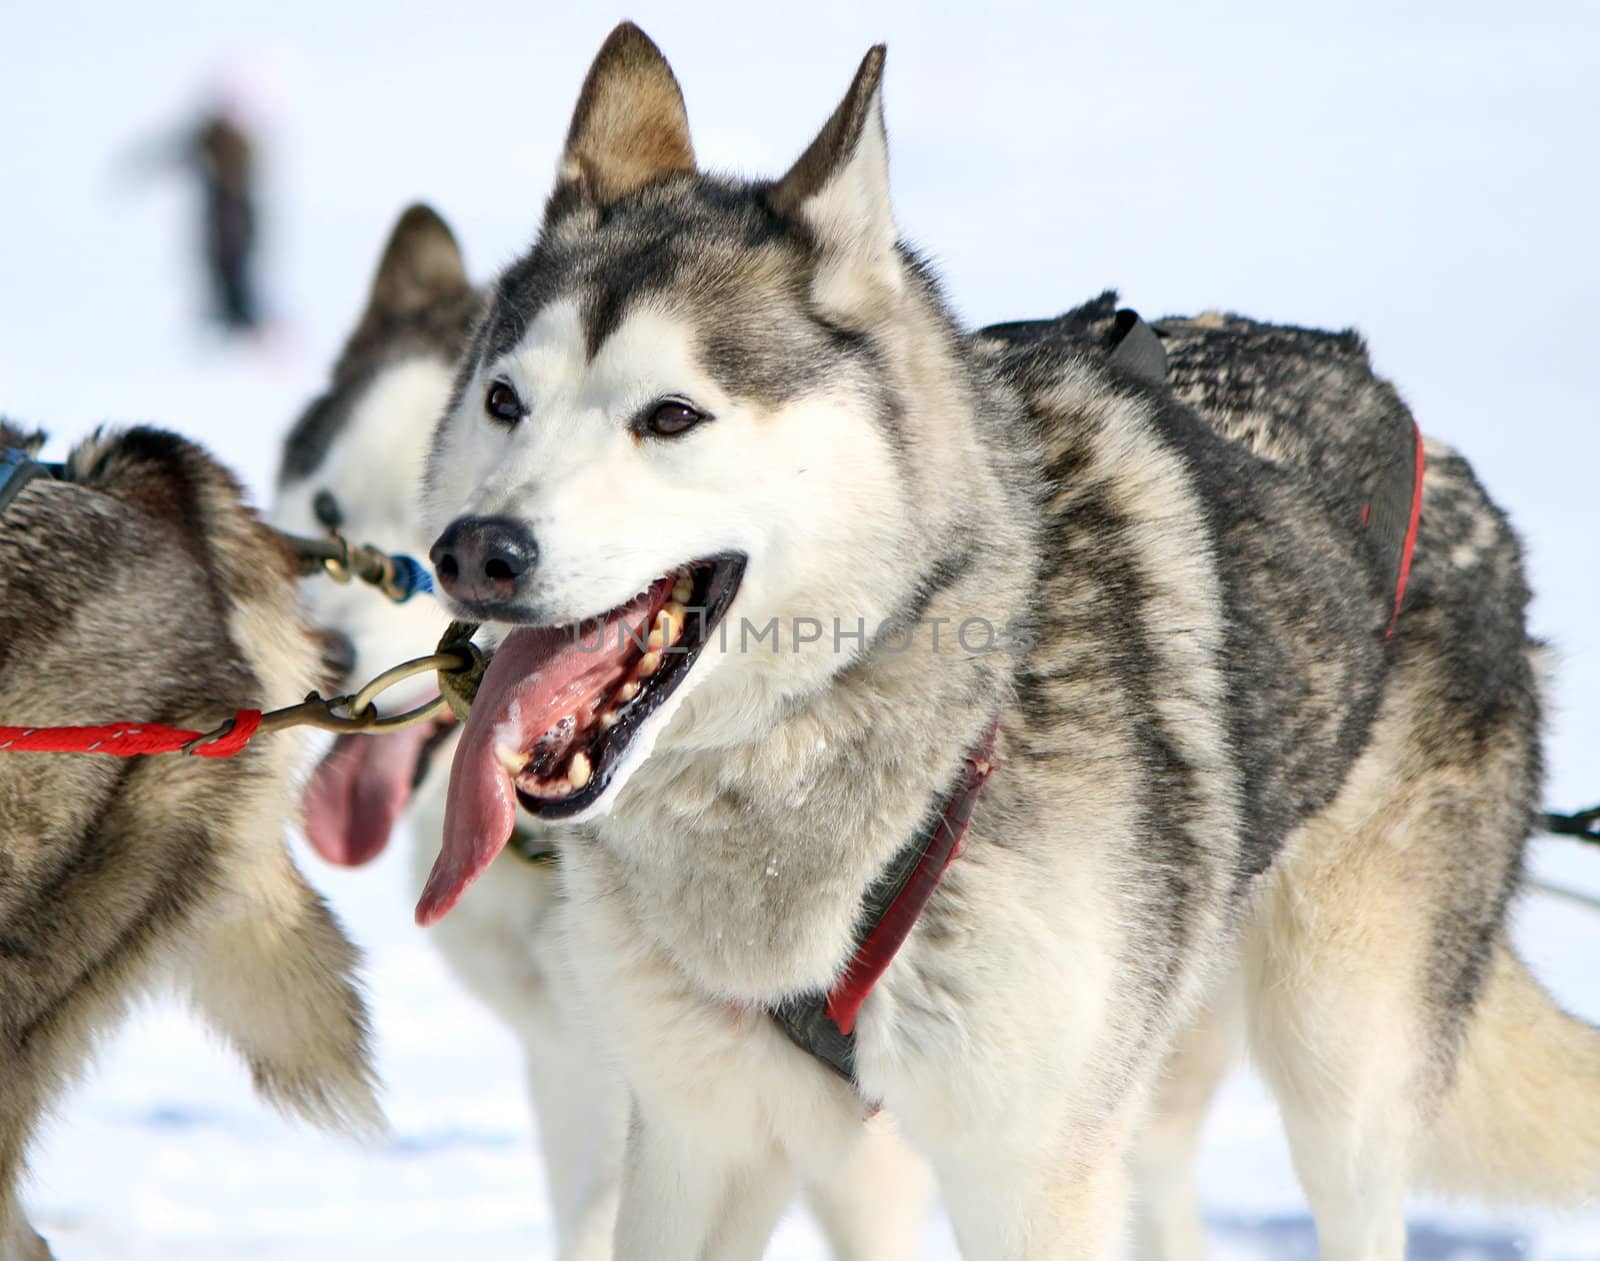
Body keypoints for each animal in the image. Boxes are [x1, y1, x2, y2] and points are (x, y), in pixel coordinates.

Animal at [416, 22, 1600, 1261]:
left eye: (672, 415)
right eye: (504, 401)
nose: (475, 551)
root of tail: (1436, 452)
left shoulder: (1027, 1168)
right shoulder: (701, 1138)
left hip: (1336, 1060)